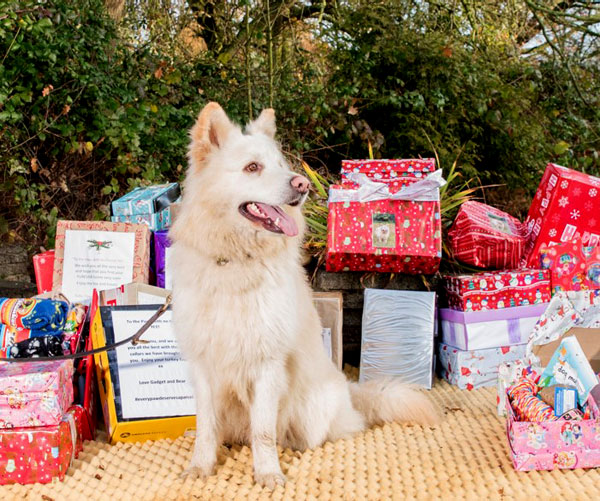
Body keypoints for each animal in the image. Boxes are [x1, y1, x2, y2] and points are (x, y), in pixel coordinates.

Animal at [169, 102, 440, 488]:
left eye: (281, 166)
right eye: (253, 167)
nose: (302, 184)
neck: (236, 261)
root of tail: (349, 393)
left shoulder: (267, 366)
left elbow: (263, 432)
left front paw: (267, 473)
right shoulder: (204, 365)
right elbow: (207, 426)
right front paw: (200, 467)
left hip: (312, 413)